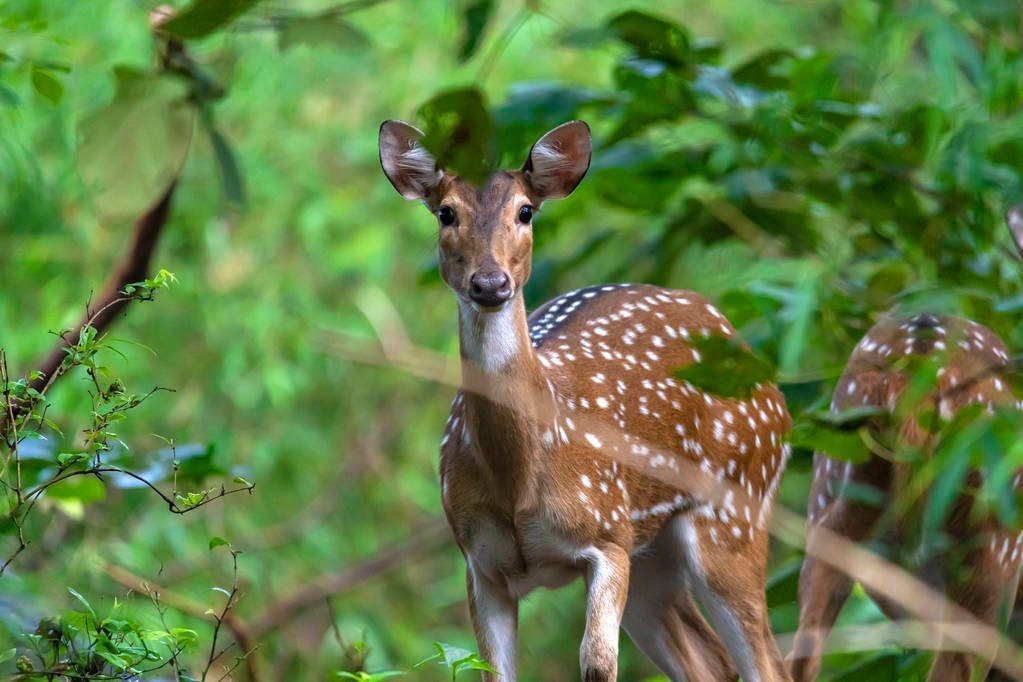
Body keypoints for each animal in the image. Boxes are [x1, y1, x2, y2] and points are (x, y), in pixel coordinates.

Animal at [379, 119, 793, 682]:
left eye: (525, 211)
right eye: (446, 212)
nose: (489, 282)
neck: (520, 480)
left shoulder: (607, 535)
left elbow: (596, 662)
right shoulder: (479, 560)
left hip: (736, 509)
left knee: (768, 661)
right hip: (655, 553)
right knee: (709, 662)